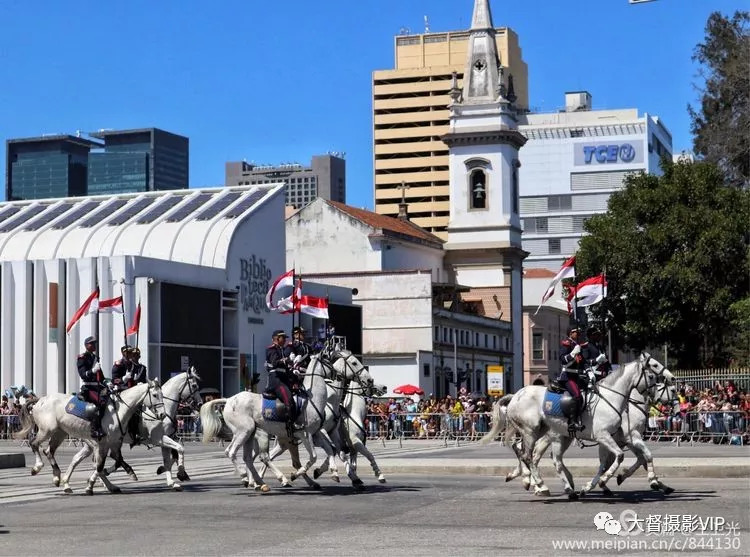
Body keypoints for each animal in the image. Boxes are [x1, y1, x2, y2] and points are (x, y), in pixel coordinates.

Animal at [15, 380, 165, 494]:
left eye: (162, 394)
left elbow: (111, 463)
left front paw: (107, 483)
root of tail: (41, 399)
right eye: (155, 395)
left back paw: (58, 477)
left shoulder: (114, 444)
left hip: (60, 433)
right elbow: (99, 466)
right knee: (34, 443)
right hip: (47, 430)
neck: (119, 411)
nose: (162, 415)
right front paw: (90, 485)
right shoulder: (102, 444)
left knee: (49, 451)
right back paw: (38, 468)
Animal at [203, 350, 374, 494]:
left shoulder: (317, 434)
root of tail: (229, 400)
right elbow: (314, 457)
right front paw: (296, 475)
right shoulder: (306, 434)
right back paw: (250, 478)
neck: (316, 401)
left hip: (251, 435)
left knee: (250, 458)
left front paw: (333, 473)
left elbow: (331, 450)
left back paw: (261, 483)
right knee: (235, 453)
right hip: (245, 432)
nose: (370, 380)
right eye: (353, 362)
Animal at [484, 354, 672, 498]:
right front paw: (605, 481)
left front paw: (657, 483)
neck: (615, 399)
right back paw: (540, 484)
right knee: (530, 456)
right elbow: (621, 458)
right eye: (654, 368)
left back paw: (543, 482)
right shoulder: (611, 436)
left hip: (549, 434)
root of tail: (516, 395)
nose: (671, 378)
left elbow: (640, 458)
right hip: (532, 432)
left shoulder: (620, 439)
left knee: (532, 454)